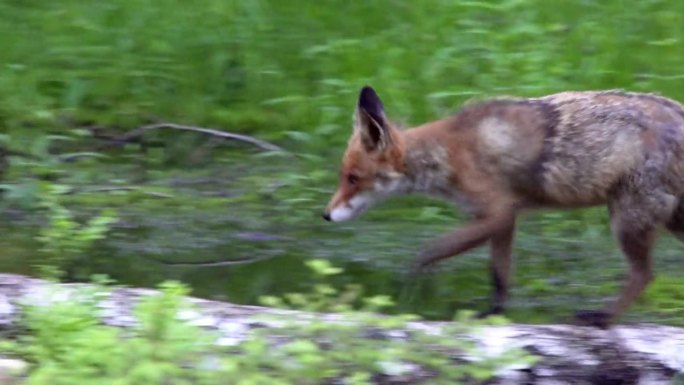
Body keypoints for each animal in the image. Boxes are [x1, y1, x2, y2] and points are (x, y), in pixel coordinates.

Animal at [322, 86, 684, 328]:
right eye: (343, 176)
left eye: (353, 178)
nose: (325, 215)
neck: (447, 153)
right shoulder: (505, 219)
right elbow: (499, 278)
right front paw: (493, 315)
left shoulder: (496, 211)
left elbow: (429, 250)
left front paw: (409, 285)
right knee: (646, 274)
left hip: (627, 221)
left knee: (644, 275)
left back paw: (603, 318)